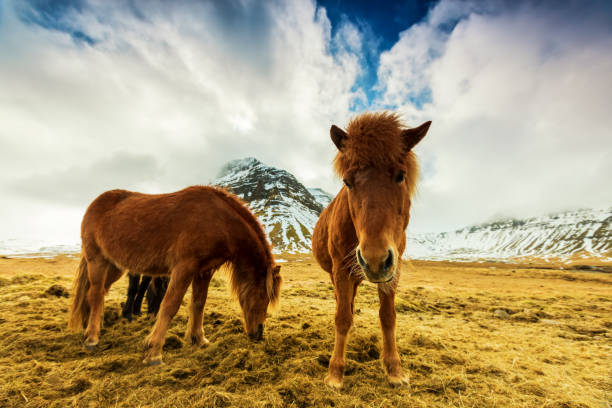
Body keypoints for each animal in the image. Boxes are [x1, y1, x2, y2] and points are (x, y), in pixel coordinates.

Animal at [68, 185, 284, 364]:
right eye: (263, 295)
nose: (258, 333)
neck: (218, 220)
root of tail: (96, 203)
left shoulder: (204, 271)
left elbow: (198, 303)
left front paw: (199, 339)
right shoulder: (183, 269)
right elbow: (169, 305)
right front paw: (154, 352)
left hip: (114, 266)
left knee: (97, 293)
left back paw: (89, 326)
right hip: (97, 261)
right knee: (96, 294)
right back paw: (92, 338)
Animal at [314, 112, 432, 388]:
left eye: (400, 175)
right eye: (347, 182)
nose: (374, 259)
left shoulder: (392, 270)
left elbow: (388, 316)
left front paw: (395, 370)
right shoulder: (341, 270)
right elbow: (341, 317)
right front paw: (335, 373)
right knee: (342, 304)